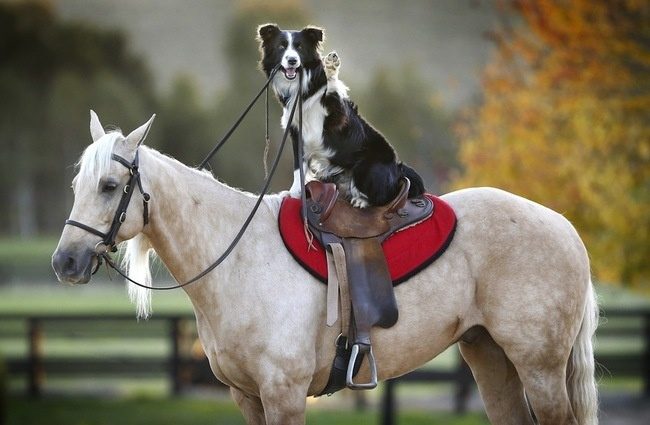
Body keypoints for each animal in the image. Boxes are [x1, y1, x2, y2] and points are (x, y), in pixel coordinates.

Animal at [52, 112, 596, 424]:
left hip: (540, 367)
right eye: (77, 184)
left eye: (109, 186)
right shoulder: (248, 398)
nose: (65, 262)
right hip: (489, 356)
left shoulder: (285, 395)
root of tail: (564, 228)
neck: (238, 263)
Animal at [256, 24, 422, 208]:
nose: (292, 60)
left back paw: (361, 201)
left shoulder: (337, 116)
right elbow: (298, 168)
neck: (302, 87)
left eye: (299, 47)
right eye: (281, 47)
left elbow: (331, 88)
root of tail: (397, 168)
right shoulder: (296, 133)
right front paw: (293, 194)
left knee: (385, 196)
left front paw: (330, 68)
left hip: (366, 167)